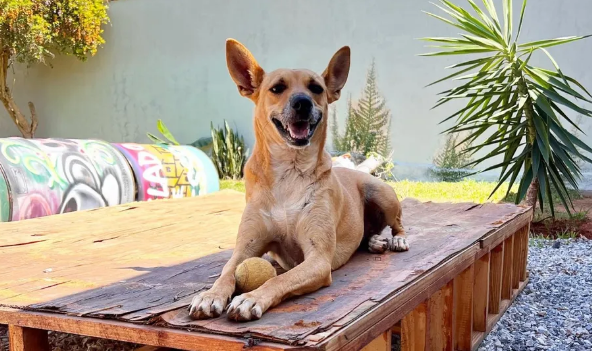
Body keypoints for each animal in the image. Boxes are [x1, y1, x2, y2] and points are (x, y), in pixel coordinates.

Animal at [187, 38, 410, 322]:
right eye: (277, 88)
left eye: (316, 88)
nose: (302, 102)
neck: (289, 173)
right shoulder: (245, 248)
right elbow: (226, 272)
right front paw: (210, 295)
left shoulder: (317, 259)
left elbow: (280, 279)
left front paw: (250, 298)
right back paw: (374, 240)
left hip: (381, 193)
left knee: (397, 223)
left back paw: (396, 239)